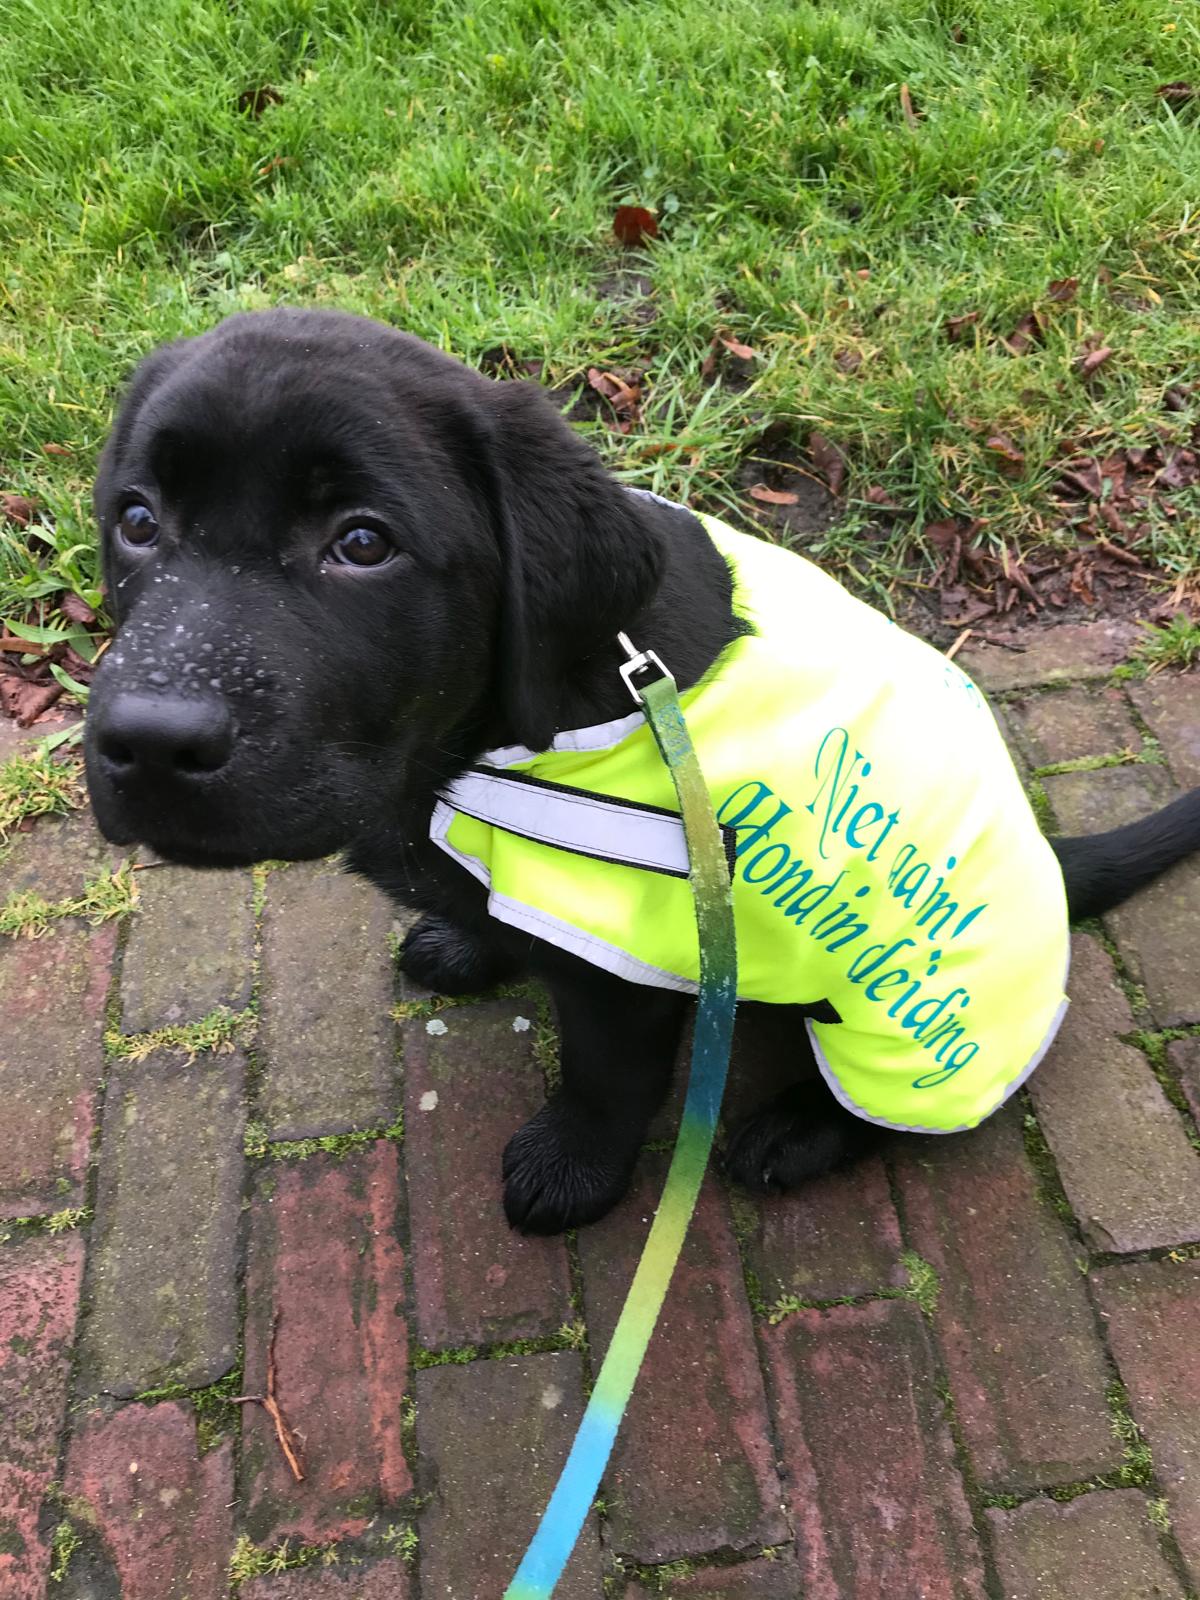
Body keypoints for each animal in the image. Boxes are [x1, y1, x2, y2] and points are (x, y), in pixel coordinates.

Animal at [84, 312, 1200, 1235]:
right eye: (136, 522)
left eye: (363, 543)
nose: (148, 741)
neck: (482, 752)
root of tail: (1054, 869)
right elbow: (489, 909)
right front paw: (467, 939)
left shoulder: (627, 960)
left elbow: (604, 1079)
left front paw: (572, 1170)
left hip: (911, 1026)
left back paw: (802, 1127)